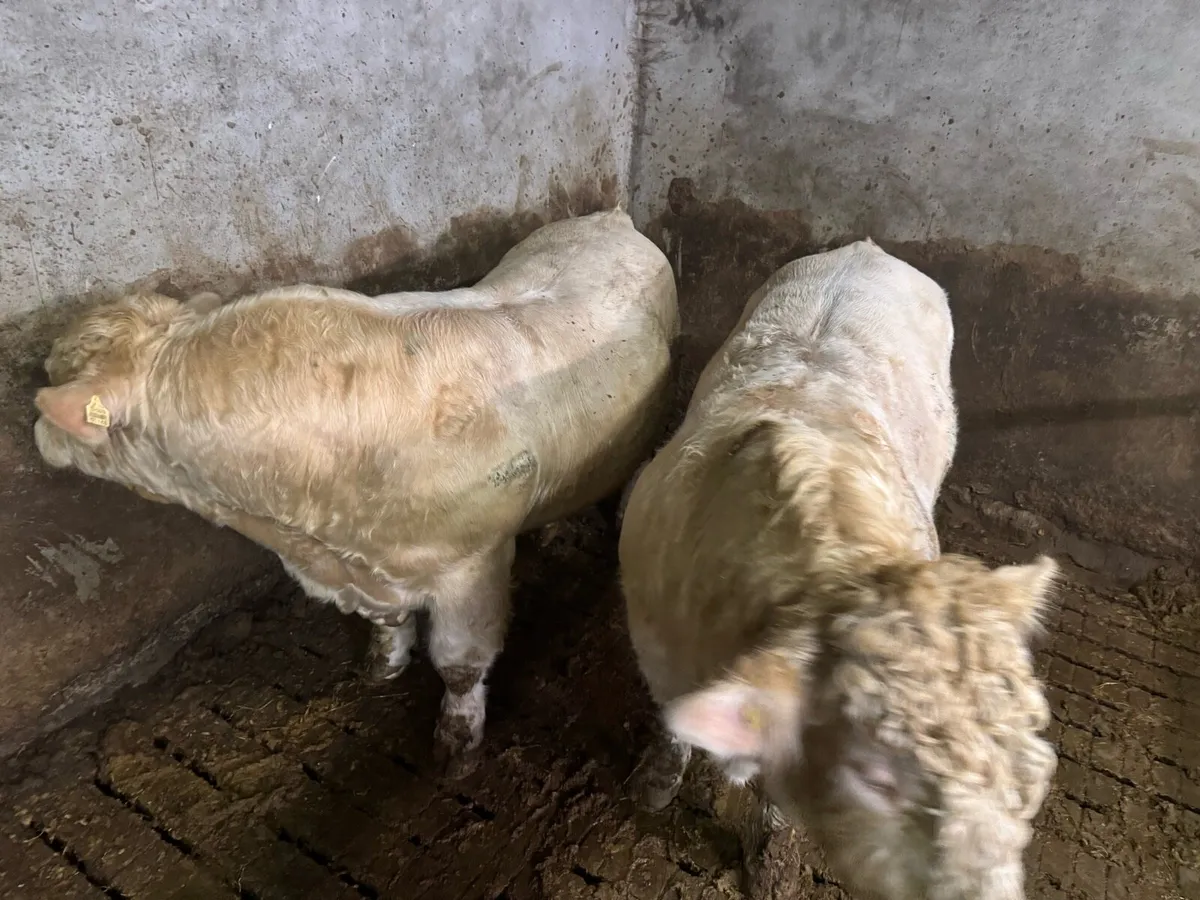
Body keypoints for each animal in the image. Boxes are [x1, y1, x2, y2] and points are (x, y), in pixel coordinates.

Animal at [34, 208, 679, 774]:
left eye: (57, 381)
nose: (37, 430)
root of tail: (610, 219)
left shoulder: (473, 567)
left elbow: (460, 664)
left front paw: (456, 741)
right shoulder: (364, 570)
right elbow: (388, 623)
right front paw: (383, 664)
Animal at [618, 239, 1057, 899]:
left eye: (1033, 774)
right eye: (874, 778)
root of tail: (865, 247)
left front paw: (768, 858)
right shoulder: (654, 644)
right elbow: (672, 726)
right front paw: (656, 785)